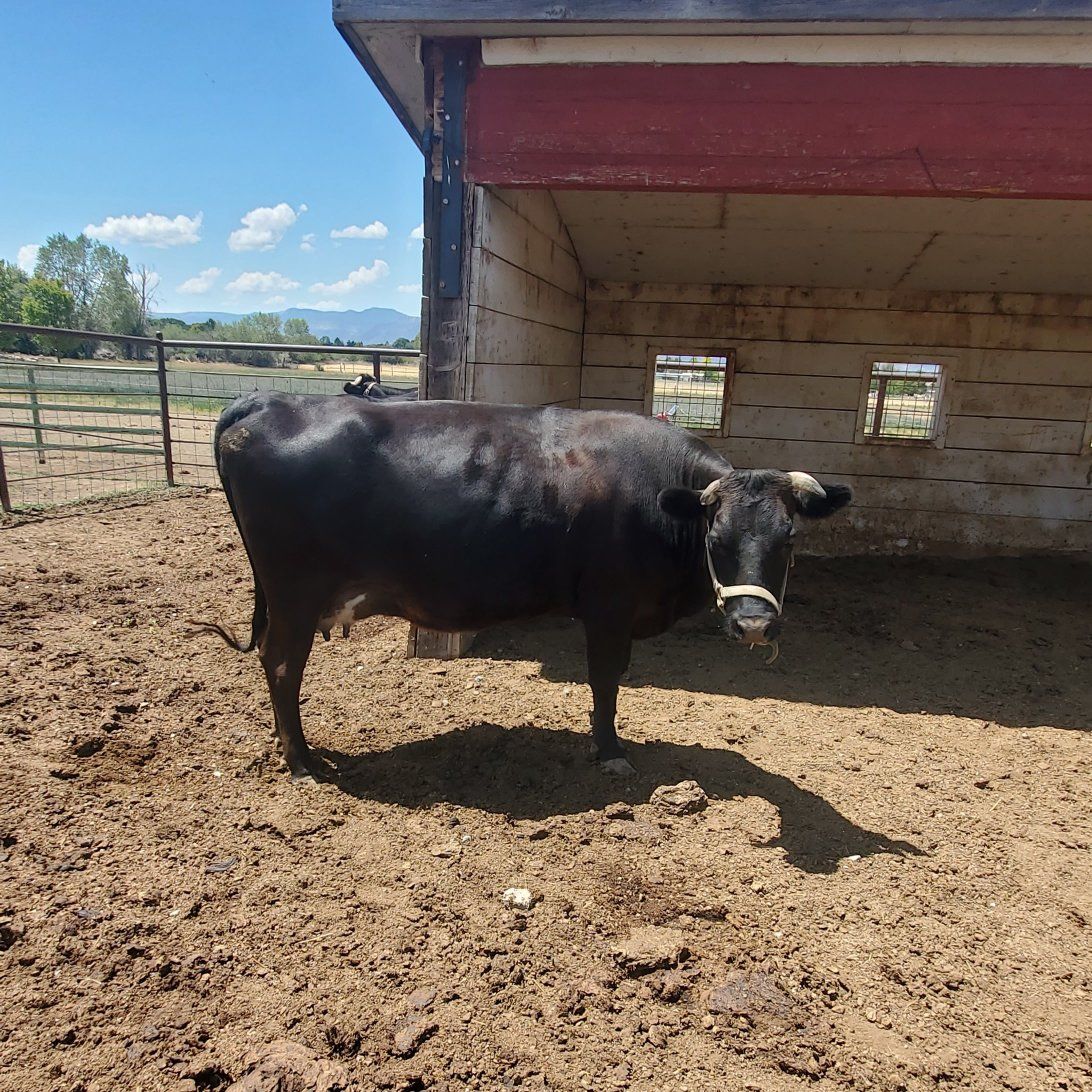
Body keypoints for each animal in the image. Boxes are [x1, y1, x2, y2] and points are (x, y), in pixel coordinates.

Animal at [192, 393, 851, 782]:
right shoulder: (610, 607)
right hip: (294, 596)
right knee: (282, 666)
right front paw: (610, 751)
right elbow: (606, 681)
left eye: (789, 538)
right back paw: (301, 758)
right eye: (716, 536)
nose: (753, 624)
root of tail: (269, 402)